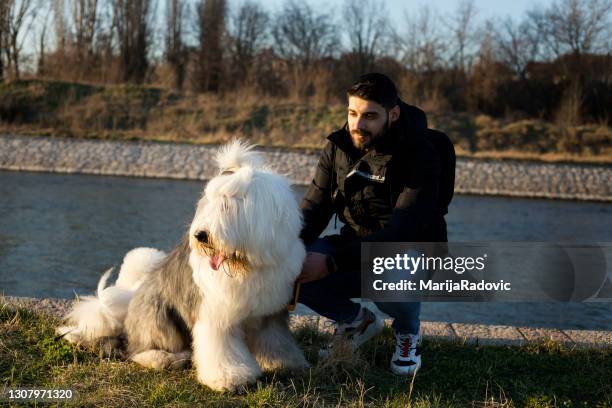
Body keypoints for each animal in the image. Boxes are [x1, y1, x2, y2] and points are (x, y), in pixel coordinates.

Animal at [56, 141, 306, 392]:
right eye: (207, 205)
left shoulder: (269, 313)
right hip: (159, 317)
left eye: (226, 206)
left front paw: (282, 363)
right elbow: (222, 349)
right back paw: (167, 358)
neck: (244, 267)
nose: (201, 235)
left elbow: (275, 340)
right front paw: (229, 378)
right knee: (137, 351)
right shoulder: (215, 316)